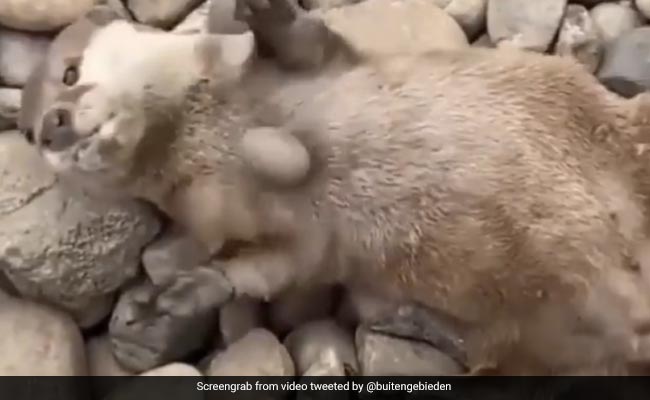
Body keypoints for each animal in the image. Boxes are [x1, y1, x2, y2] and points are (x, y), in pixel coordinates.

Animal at [23, 14, 650, 374]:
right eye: (27, 134)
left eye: (70, 73)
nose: (51, 126)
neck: (209, 132)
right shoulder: (254, 226)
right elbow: (272, 268)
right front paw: (172, 298)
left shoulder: (313, 67)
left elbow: (313, 42)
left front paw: (267, 11)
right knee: (498, 349)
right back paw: (410, 321)